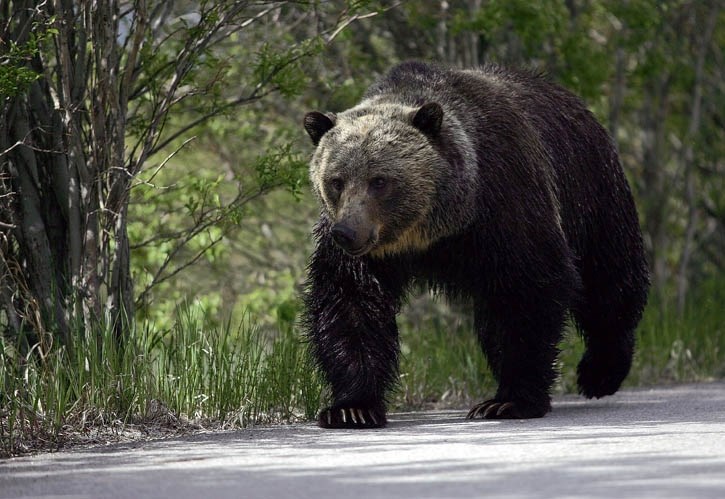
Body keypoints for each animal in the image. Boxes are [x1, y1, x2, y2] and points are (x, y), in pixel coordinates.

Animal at [302, 61, 648, 430]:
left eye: (379, 181)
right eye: (336, 181)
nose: (347, 232)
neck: (434, 229)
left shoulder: (505, 203)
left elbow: (525, 291)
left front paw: (509, 400)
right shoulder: (369, 257)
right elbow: (350, 303)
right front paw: (352, 408)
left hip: (591, 191)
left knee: (608, 279)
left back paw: (602, 372)